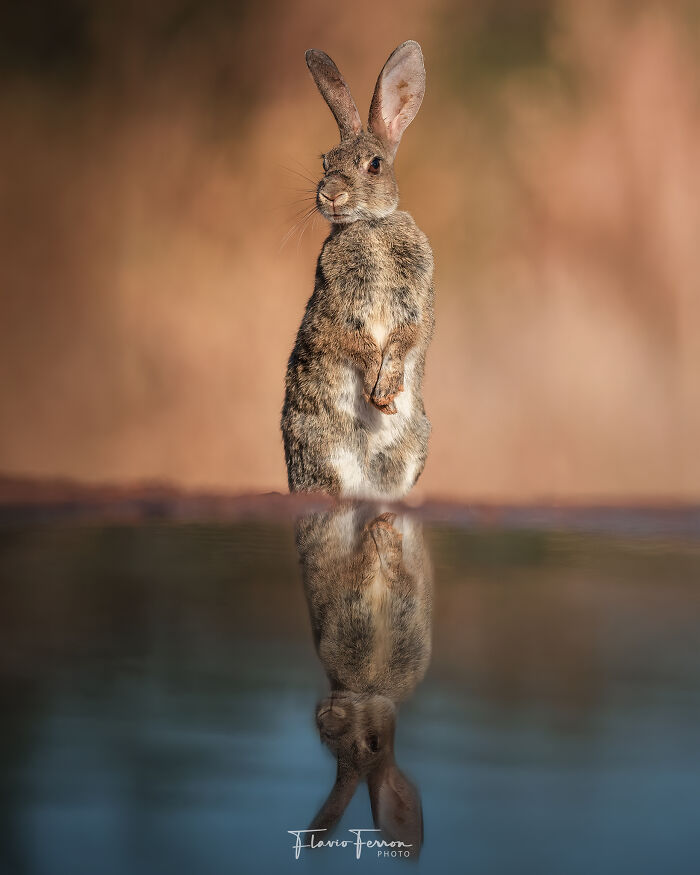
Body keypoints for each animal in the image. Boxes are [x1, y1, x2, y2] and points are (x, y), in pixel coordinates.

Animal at [281, 41, 434, 500]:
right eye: (325, 161)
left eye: (375, 164)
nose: (330, 193)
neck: (371, 225)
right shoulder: (337, 309)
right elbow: (356, 343)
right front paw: (377, 390)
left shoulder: (416, 305)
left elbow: (405, 339)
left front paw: (385, 391)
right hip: (328, 451)